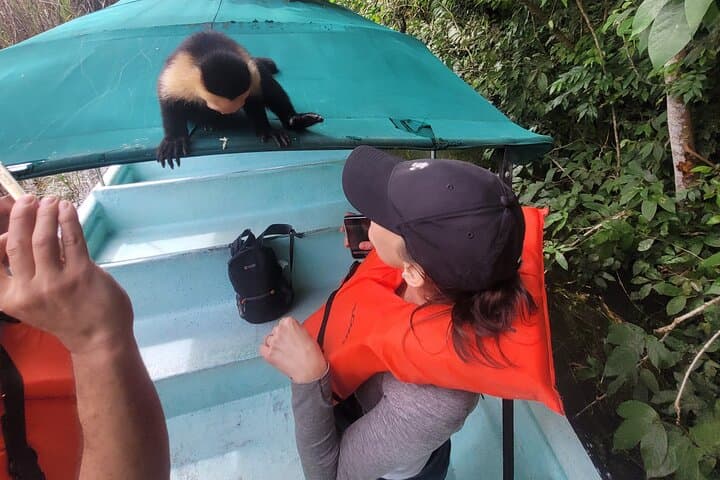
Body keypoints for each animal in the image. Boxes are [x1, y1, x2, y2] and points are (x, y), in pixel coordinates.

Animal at [156, 31, 324, 168]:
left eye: (242, 103)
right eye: (215, 108)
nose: (225, 115)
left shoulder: (252, 75)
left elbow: (257, 98)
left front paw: (267, 130)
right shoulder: (177, 77)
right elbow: (170, 102)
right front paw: (175, 140)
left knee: (267, 82)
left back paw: (295, 120)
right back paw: (207, 123)